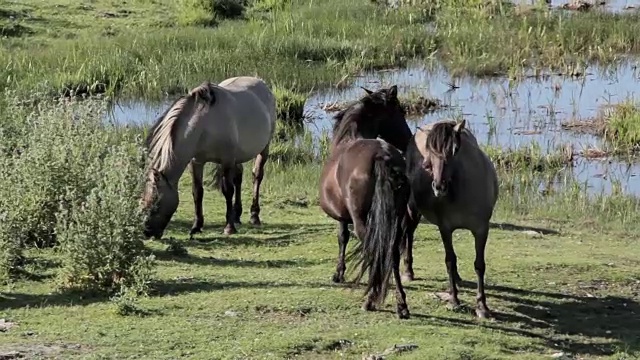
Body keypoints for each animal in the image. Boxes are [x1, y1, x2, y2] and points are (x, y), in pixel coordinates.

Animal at [141, 76, 276, 239]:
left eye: (156, 203)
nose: (148, 232)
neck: (204, 125)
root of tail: (260, 82)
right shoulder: (196, 162)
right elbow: (197, 192)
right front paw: (196, 226)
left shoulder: (227, 161)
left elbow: (227, 190)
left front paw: (229, 228)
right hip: (238, 157)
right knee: (239, 177)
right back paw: (237, 215)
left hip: (264, 148)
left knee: (257, 176)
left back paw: (254, 216)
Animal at [318, 83, 416, 318]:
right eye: (400, 111)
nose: (408, 139)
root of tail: (383, 156)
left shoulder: (343, 218)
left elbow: (342, 238)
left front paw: (338, 273)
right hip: (395, 221)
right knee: (392, 253)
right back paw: (401, 305)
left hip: (363, 221)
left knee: (375, 250)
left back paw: (370, 300)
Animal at [404, 119, 500, 320]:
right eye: (430, 151)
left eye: (454, 150)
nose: (438, 186)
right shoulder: (445, 228)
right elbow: (450, 260)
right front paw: (454, 300)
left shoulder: (481, 229)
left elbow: (479, 265)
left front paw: (482, 307)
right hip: (412, 209)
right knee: (409, 233)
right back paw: (408, 272)